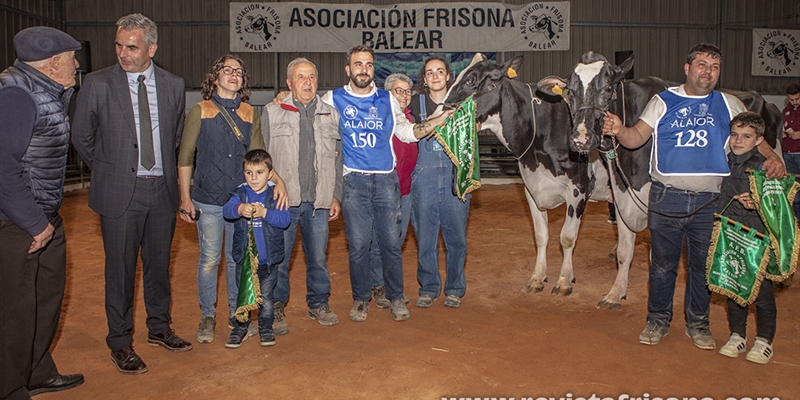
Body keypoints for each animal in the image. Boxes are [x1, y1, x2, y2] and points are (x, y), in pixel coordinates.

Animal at [440, 53, 608, 296]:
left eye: (471, 80)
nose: (440, 112)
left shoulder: (579, 189)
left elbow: (567, 237)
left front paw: (564, 281)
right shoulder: (531, 188)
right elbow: (541, 236)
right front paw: (537, 278)